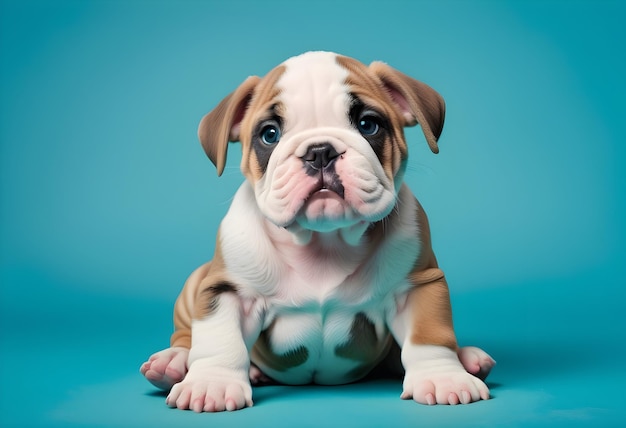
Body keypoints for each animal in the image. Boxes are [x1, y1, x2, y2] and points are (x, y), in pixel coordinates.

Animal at [140, 51, 492, 412]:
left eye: (368, 125)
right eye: (269, 134)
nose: (320, 151)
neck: (324, 240)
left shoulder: (417, 285)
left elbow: (429, 334)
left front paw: (443, 377)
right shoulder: (228, 290)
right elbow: (219, 339)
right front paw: (211, 383)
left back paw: (469, 358)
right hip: (195, 281)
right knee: (186, 336)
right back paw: (171, 364)